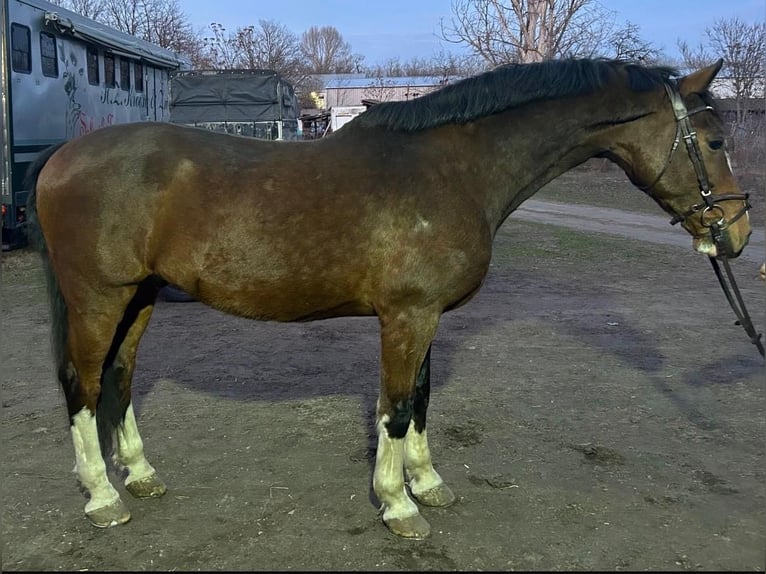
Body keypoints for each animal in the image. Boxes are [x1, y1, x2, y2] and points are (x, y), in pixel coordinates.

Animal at [25, 58, 754, 540]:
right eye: (715, 141)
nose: (738, 233)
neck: (450, 169)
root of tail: (61, 157)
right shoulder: (407, 315)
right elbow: (398, 406)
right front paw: (399, 507)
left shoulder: (425, 316)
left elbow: (422, 400)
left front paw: (428, 486)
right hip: (98, 298)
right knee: (82, 385)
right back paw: (102, 497)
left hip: (141, 296)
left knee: (119, 378)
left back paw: (140, 474)